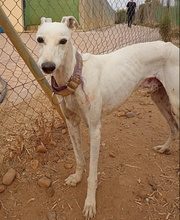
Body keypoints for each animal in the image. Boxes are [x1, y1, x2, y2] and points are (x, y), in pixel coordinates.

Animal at [36, 16, 179, 219]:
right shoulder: (72, 124)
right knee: (174, 126)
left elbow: (93, 175)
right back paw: (165, 148)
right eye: (40, 39)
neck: (76, 75)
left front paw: (90, 203)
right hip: (159, 98)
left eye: (63, 41)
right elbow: (79, 158)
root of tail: (172, 46)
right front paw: (76, 178)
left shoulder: (95, 130)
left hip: (175, 102)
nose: (47, 67)